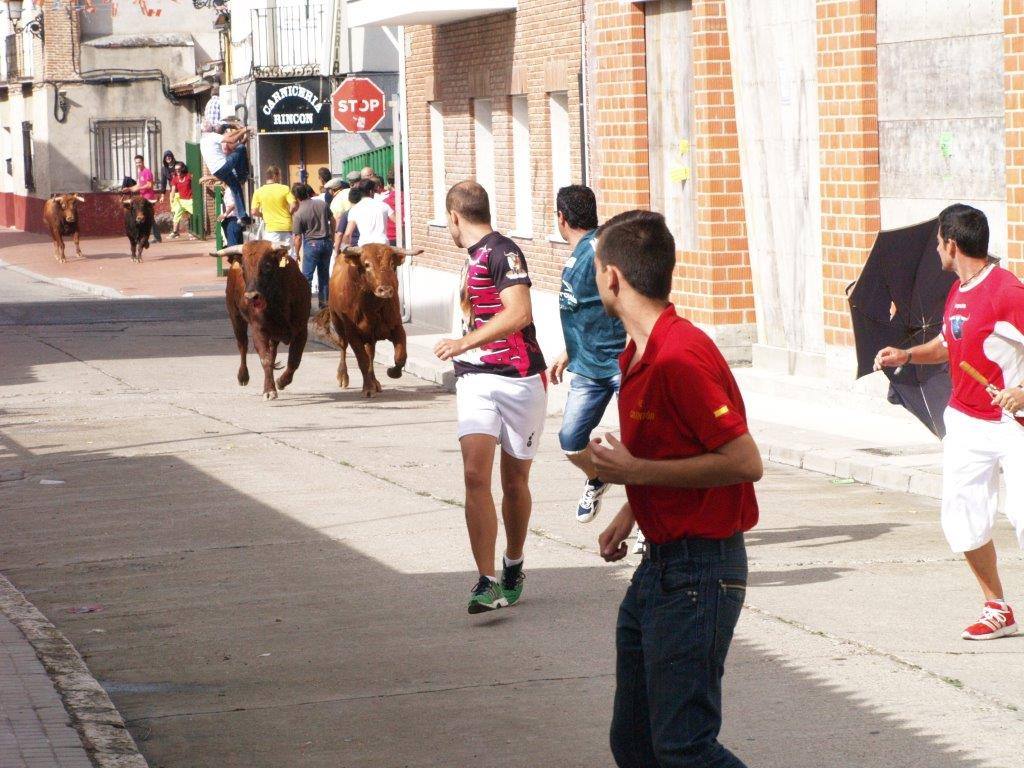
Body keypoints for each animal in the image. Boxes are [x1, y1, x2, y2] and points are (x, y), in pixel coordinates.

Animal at [209, 241, 309, 399]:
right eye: (244, 267)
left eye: (267, 265)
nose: (251, 296)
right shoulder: (258, 329)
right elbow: (265, 359)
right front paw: (269, 390)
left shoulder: (301, 331)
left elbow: (294, 361)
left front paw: (281, 381)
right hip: (235, 317)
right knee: (242, 345)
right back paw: (243, 376)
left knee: (273, 352)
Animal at [313, 244, 421, 399]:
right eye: (367, 264)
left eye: (392, 264)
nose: (385, 290)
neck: (371, 307)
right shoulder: (353, 334)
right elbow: (362, 360)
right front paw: (368, 388)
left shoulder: (397, 328)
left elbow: (400, 356)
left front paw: (392, 372)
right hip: (338, 324)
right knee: (343, 347)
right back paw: (343, 376)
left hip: (371, 337)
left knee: (371, 355)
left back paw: (375, 382)